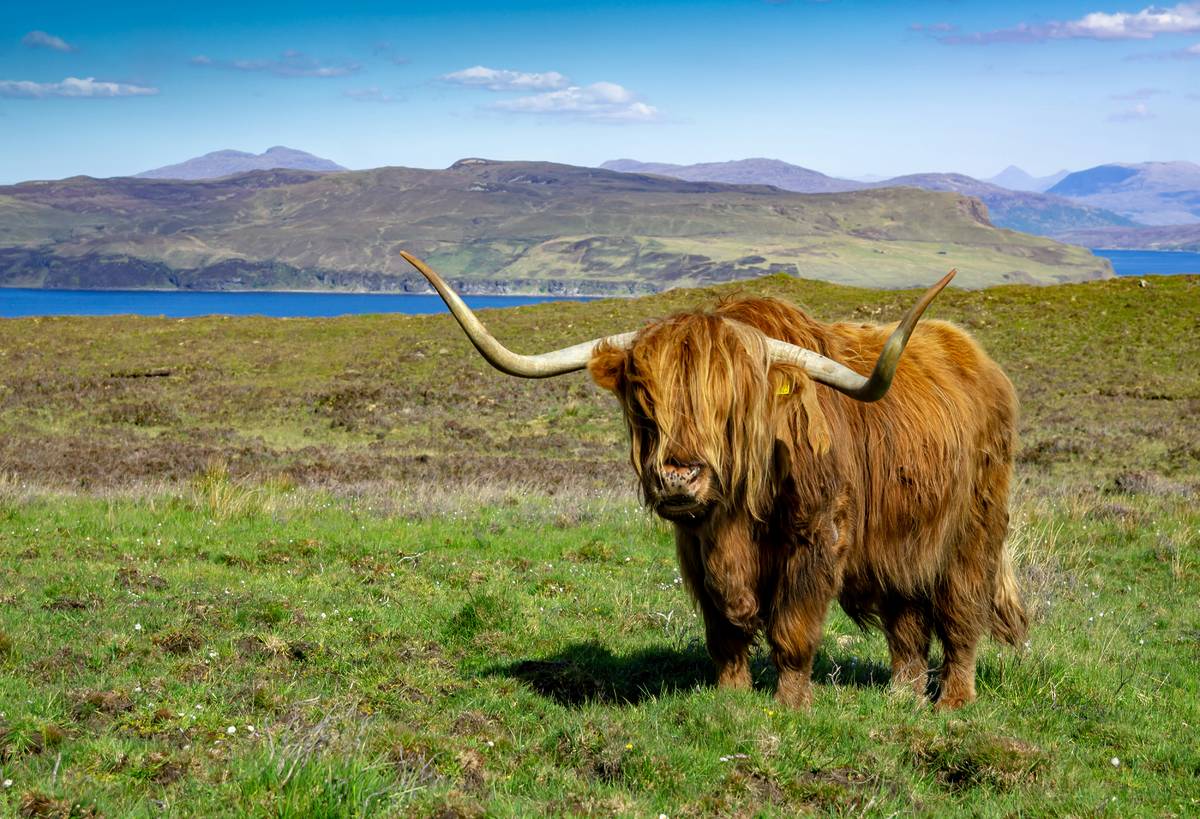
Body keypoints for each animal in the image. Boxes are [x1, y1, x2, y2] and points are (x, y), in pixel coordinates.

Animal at [399, 251, 1027, 710]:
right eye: (643, 398)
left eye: (730, 404)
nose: (679, 475)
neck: (740, 514)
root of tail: (979, 360)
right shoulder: (696, 547)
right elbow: (724, 627)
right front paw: (730, 698)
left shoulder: (817, 538)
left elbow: (793, 630)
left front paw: (789, 706)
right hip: (901, 544)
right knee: (907, 622)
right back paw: (900, 697)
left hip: (975, 530)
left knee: (961, 614)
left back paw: (952, 702)